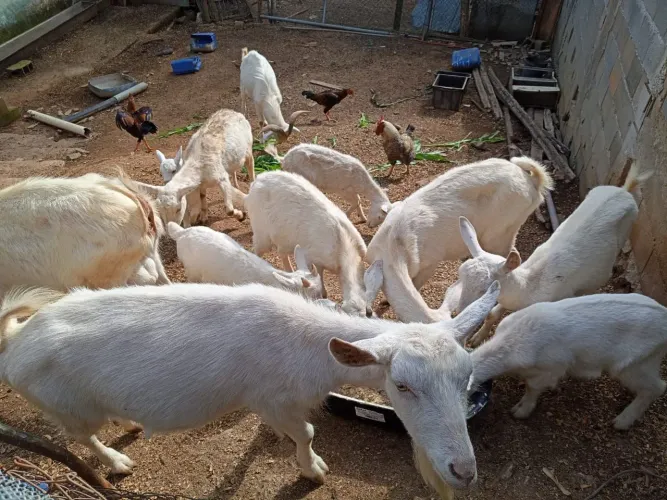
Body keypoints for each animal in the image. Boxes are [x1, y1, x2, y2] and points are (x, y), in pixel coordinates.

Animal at [0, 281, 500, 498]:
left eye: (466, 377)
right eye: (401, 385)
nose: (463, 471)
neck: (306, 343)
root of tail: (16, 343)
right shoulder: (273, 399)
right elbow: (307, 435)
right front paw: (313, 471)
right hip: (67, 408)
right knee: (80, 438)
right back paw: (117, 462)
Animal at [245, 171, 382, 316]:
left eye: (370, 313)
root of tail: (258, 179)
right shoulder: (316, 260)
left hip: (283, 238)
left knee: (282, 253)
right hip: (261, 232)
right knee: (257, 250)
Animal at [456, 162, 653, 347]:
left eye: (485, 288)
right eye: (460, 277)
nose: (458, 311)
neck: (529, 287)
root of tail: (624, 190)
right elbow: (493, 315)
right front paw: (476, 339)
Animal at [470, 293, 667, 430]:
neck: (512, 342)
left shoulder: (551, 369)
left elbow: (532, 388)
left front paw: (521, 411)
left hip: (636, 364)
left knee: (657, 387)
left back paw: (622, 421)